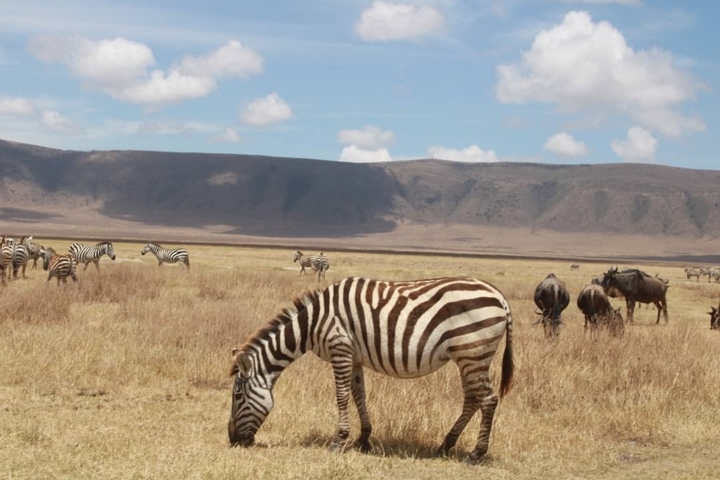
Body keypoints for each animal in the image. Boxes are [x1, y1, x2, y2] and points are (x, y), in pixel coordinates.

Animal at [228, 276, 514, 464]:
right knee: (472, 399)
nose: (233, 440)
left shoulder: (340, 348)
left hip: (473, 353)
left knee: (488, 400)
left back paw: (475, 454)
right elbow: (359, 396)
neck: (311, 324)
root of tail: (499, 296)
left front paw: (339, 440)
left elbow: (341, 396)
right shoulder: (354, 357)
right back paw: (445, 445)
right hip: (468, 356)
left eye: (237, 396)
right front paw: (363, 439)